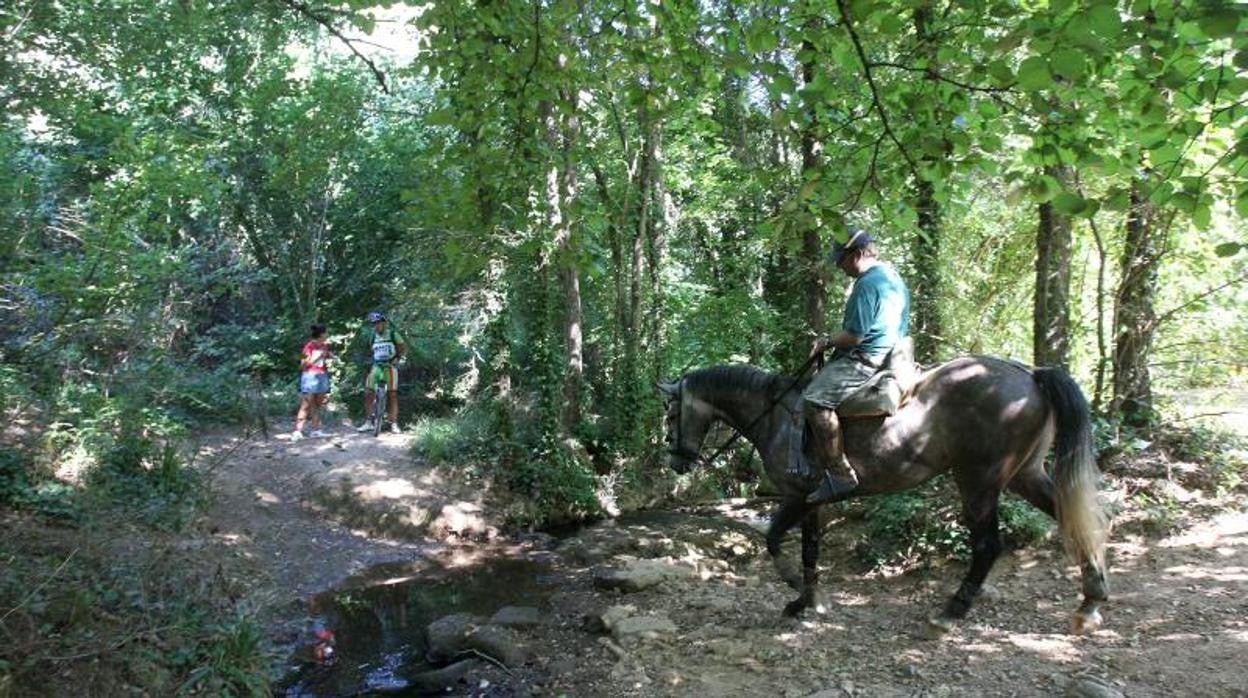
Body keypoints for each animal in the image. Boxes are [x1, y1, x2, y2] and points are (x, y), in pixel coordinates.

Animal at [663, 357, 1113, 636]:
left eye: (669, 414)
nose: (677, 462)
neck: (774, 416)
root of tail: (1032, 375)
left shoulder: (794, 496)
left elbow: (773, 540)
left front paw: (794, 589)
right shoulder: (812, 502)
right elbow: (810, 550)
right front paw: (807, 602)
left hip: (977, 481)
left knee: (987, 546)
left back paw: (949, 614)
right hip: (1025, 474)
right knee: (1070, 518)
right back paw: (1090, 603)